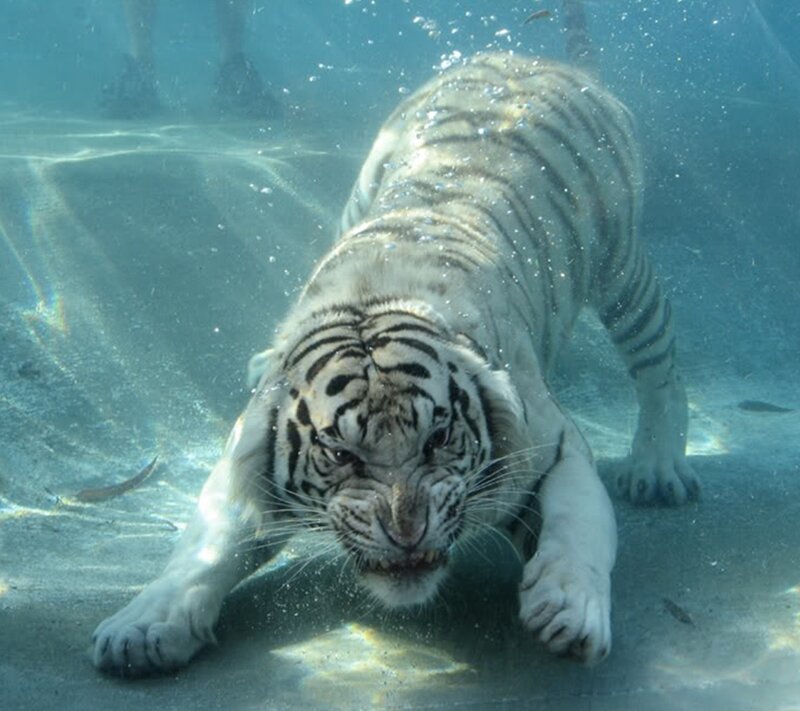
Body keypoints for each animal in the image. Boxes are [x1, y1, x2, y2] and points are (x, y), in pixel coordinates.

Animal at [92, 1, 698, 676]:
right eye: (340, 456)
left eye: (438, 439)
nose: (406, 532)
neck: (373, 297)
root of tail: (536, 59)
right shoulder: (242, 461)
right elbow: (202, 548)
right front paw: (143, 626)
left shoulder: (554, 447)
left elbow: (579, 531)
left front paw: (568, 609)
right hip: (357, 198)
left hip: (622, 267)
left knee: (659, 363)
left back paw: (658, 467)